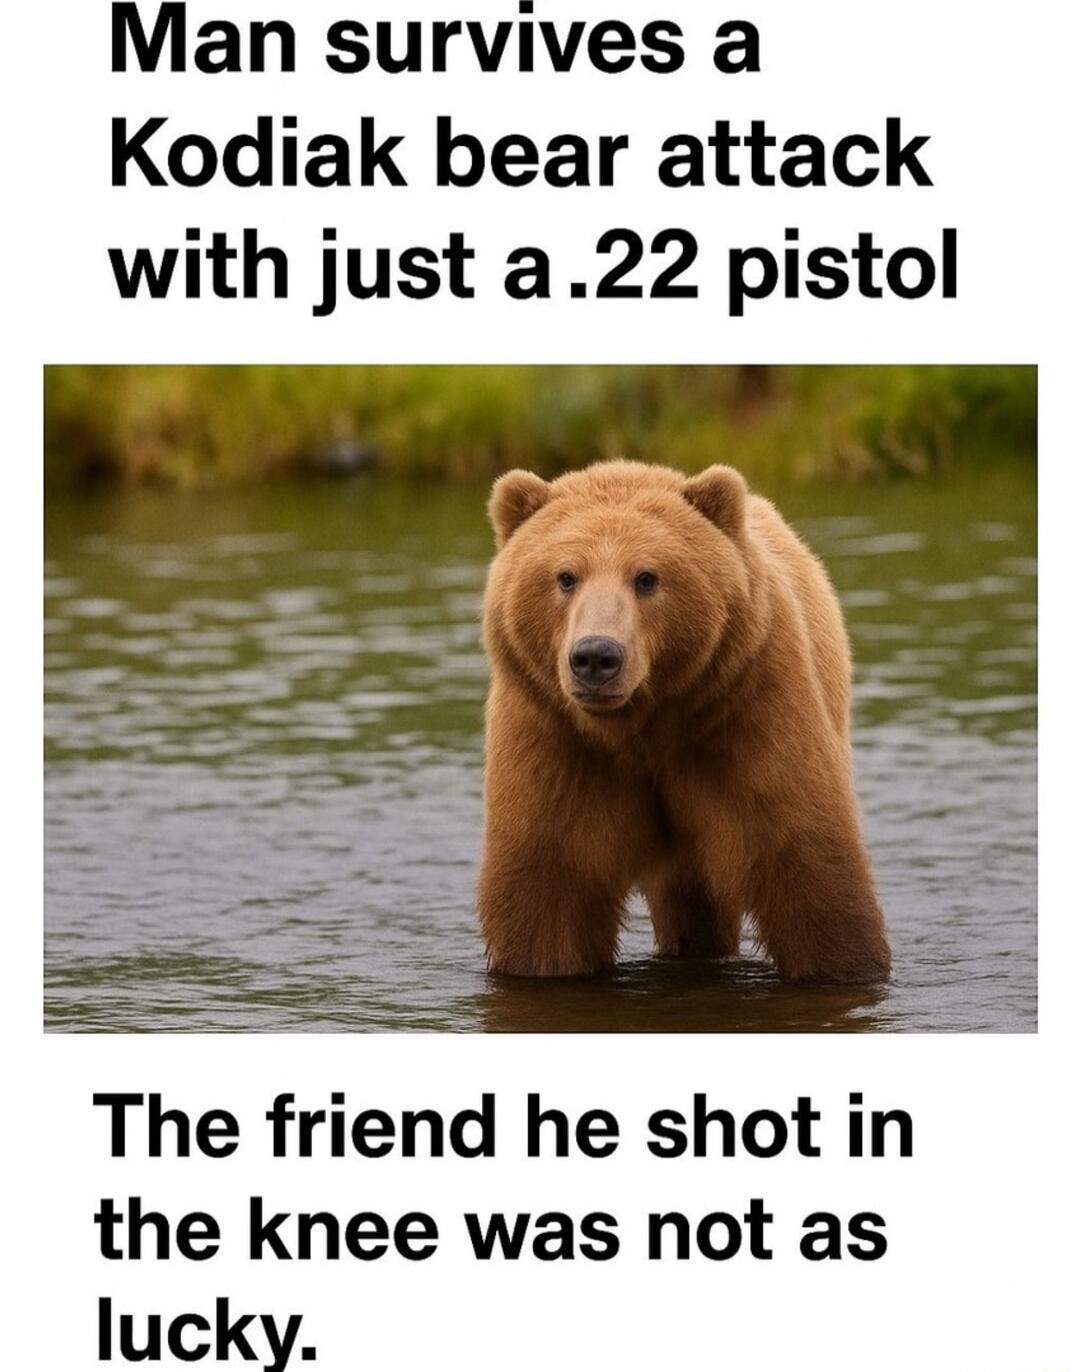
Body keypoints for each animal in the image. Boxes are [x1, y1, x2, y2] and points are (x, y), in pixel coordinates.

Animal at [477, 458, 891, 984]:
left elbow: (806, 858)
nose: (595, 656)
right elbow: (549, 888)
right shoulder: (554, 737)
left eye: (647, 577)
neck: (642, 727)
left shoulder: (749, 714)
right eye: (565, 576)